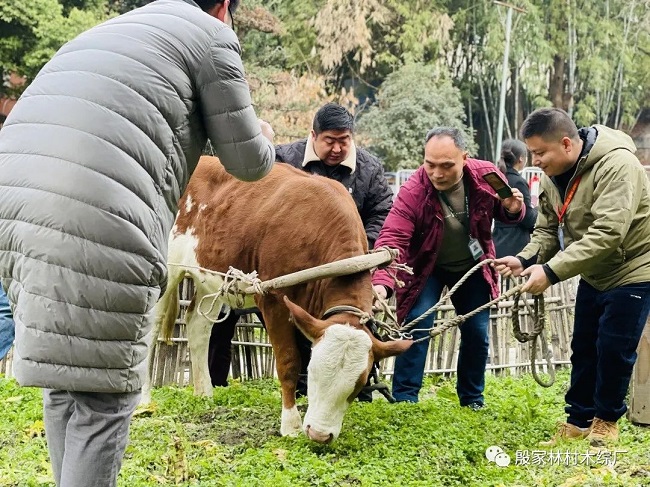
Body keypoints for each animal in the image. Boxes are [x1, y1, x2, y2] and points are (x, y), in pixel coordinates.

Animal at [144, 155, 410, 442]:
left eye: (359, 384)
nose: (319, 434)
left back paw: (204, 393)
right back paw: (144, 401)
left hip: (211, 278)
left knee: (197, 325)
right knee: (151, 329)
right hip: (166, 269)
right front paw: (291, 425)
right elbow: (288, 361)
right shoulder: (273, 300)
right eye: (313, 372)